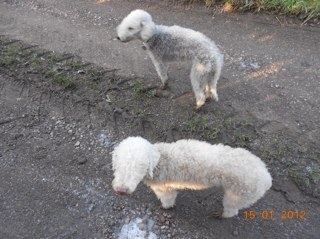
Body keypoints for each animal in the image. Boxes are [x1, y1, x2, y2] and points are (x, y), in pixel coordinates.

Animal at [111, 136, 272, 218]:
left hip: (237, 195)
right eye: (119, 163)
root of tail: (267, 177)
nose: (121, 190)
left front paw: (165, 208)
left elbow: (168, 200)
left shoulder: (164, 189)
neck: (160, 161)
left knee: (232, 211)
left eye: (140, 165)